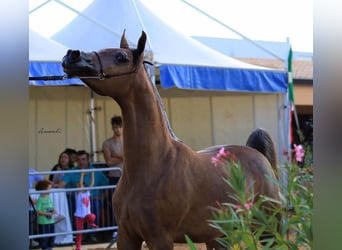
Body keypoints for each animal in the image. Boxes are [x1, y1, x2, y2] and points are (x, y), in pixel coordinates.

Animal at [61, 30, 280, 249]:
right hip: (220, 236)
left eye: (121, 57)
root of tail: (257, 154)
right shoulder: (126, 236)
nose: (72, 55)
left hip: (268, 228)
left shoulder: (160, 238)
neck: (152, 165)